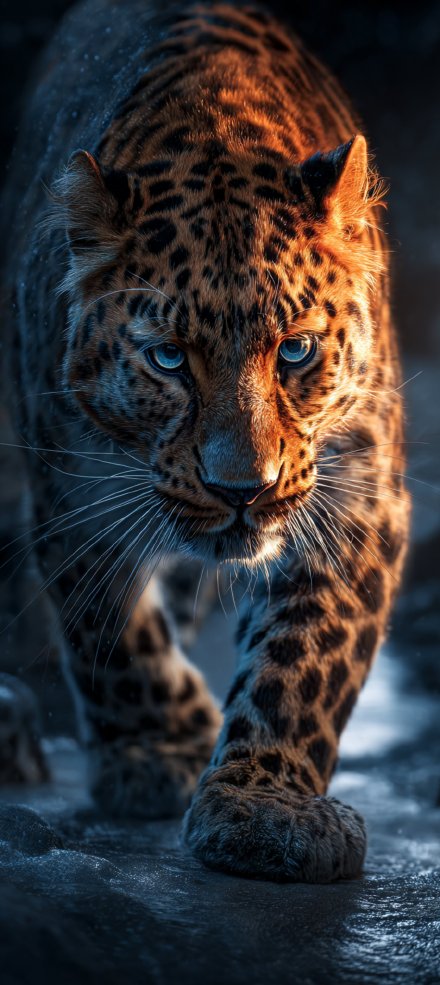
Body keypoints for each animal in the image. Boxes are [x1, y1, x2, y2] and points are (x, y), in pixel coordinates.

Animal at [0, 0, 410, 882]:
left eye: (296, 350)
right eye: (167, 358)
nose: (241, 491)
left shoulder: (358, 491)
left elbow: (306, 655)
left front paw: (263, 809)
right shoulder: (72, 484)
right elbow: (110, 625)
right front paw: (159, 748)